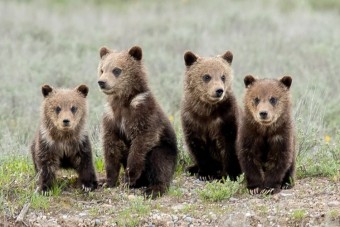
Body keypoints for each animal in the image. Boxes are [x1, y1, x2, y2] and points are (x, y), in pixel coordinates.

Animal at [97, 45, 178, 198]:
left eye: (116, 70)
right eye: (102, 69)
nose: (101, 82)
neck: (122, 102)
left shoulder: (143, 113)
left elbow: (141, 143)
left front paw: (129, 177)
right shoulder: (111, 118)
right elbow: (110, 147)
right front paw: (106, 180)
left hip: (166, 148)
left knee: (160, 163)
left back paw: (153, 189)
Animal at [181, 50, 242, 181]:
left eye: (223, 76)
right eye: (207, 76)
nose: (219, 90)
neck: (207, 111)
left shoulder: (226, 119)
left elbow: (230, 146)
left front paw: (230, 174)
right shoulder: (192, 120)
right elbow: (198, 148)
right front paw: (206, 173)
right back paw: (191, 168)